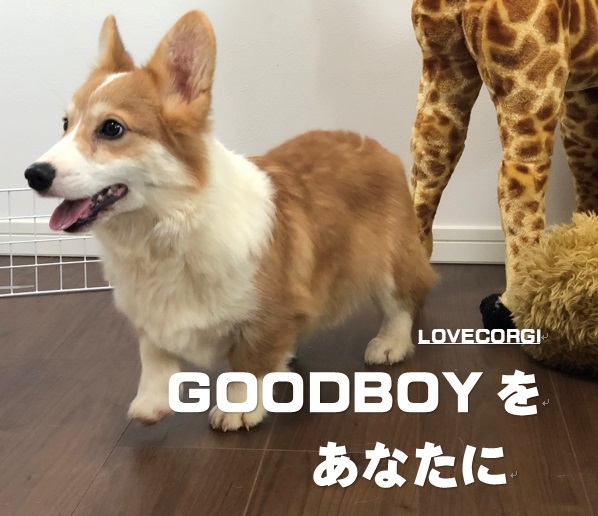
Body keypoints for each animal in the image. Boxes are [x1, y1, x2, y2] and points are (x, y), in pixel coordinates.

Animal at [24, 11, 435, 431]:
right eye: (65, 124)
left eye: (111, 128)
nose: (33, 174)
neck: (166, 229)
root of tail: (375, 145)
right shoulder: (150, 317)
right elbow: (153, 356)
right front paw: (151, 402)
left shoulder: (265, 317)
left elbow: (248, 365)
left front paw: (237, 407)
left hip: (390, 262)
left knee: (404, 300)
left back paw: (390, 343)